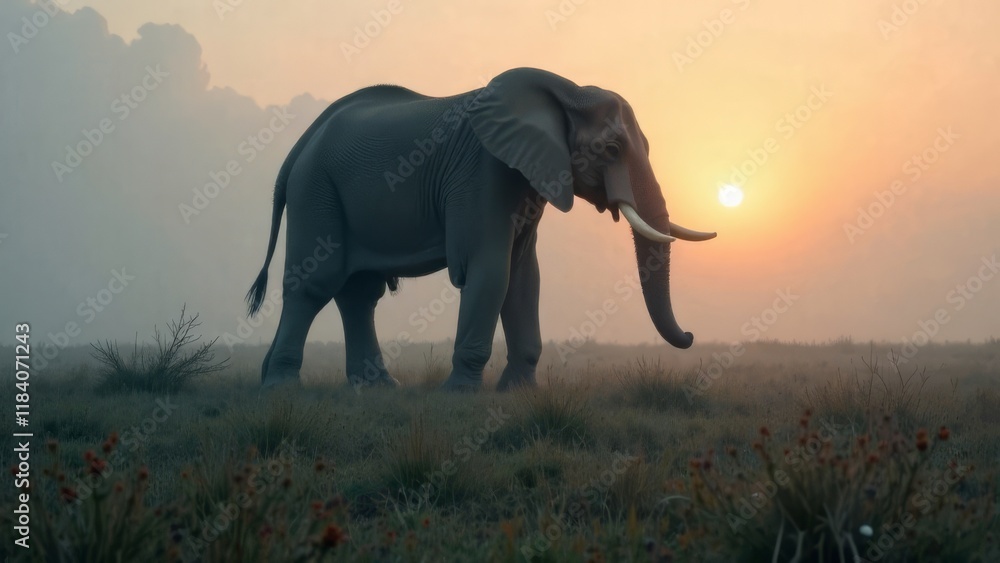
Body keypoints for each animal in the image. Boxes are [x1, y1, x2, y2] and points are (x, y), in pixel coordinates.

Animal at [246, 67, 716, 391]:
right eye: (612, 149)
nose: (691, 335)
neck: (566, 90)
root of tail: (300, 146)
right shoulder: (482, 171)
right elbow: (489, 269)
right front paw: (459, 395)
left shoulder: (528, 178)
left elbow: (524, 275)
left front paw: (519, 393)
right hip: (316, 189)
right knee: (315, 283)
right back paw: (282, 387)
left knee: (359, 292)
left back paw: (376, 389)